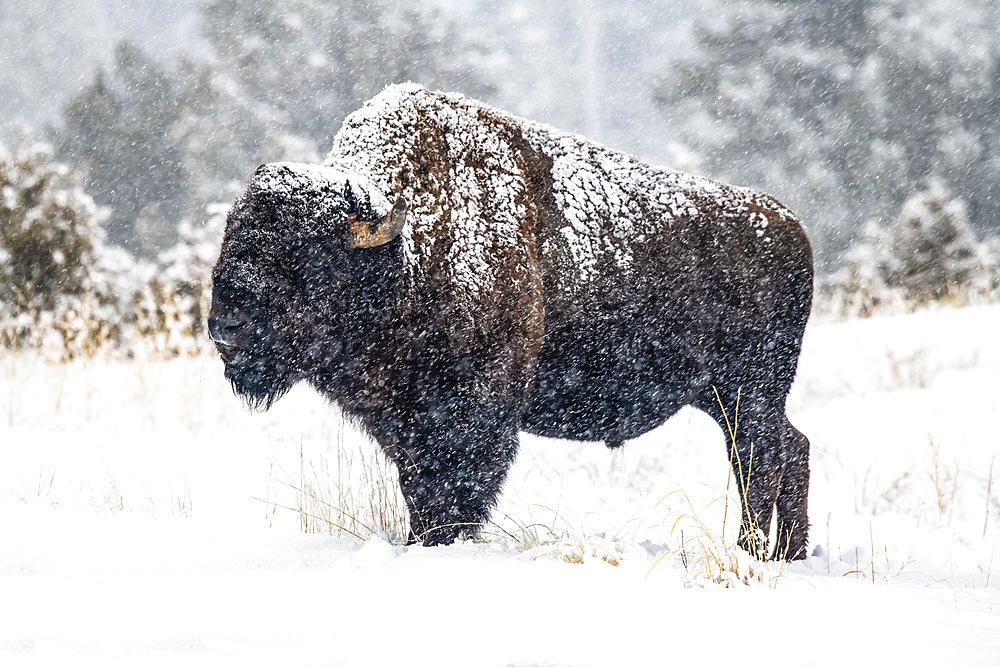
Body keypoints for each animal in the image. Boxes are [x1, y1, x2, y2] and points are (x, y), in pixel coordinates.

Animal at [209, 86, 812, 560]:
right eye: (230, 237)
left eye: (306, 254)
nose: (225, 326)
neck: (405, 252)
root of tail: (793, 228)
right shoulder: (403, 425)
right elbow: (419, 490)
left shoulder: (473, 413)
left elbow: (456, 491)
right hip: (722, 397)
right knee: (790, 450)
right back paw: (790, 553)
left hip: (750, 392)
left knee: (762, 462)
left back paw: (752, 552)